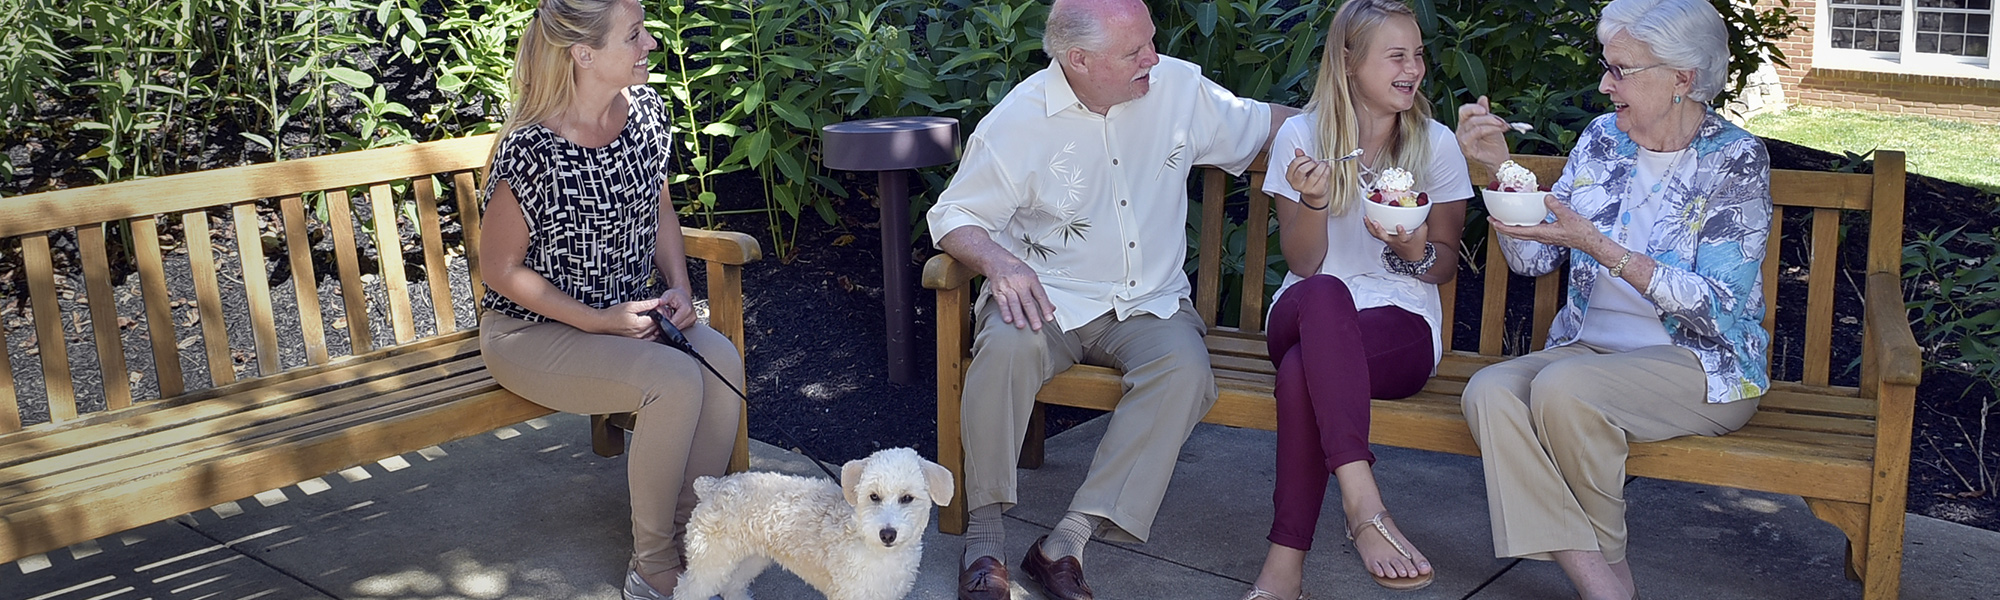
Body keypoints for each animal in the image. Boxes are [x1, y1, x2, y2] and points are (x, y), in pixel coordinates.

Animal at [672, 448, 952, 596]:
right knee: (687, 589)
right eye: (874, 496)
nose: (887, 534)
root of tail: (715, 485)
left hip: (751, 559)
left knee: (733, 586)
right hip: (710, 563)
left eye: (907, 498)